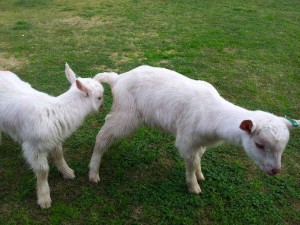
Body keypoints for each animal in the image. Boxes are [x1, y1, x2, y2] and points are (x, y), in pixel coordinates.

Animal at [0, 63, 104, 209]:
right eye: (99, 97)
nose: (102, 106)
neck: (56, 111)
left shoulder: (55, 139)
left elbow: (59, 155)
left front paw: (67, 172)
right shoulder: (33, 147)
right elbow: (43, 171)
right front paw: (44, 198)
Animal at [89, 64, 300, 193]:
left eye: (283, 148)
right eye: (259, 144)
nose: (275, 171)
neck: (212, 115)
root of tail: (117, 79)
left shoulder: (200, 141)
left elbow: (198, 158)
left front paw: (200, 175)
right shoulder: (187, 139)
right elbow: (190, 163)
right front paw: (194, 187)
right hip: (127, 114)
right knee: (102, 136)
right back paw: (93, 173)